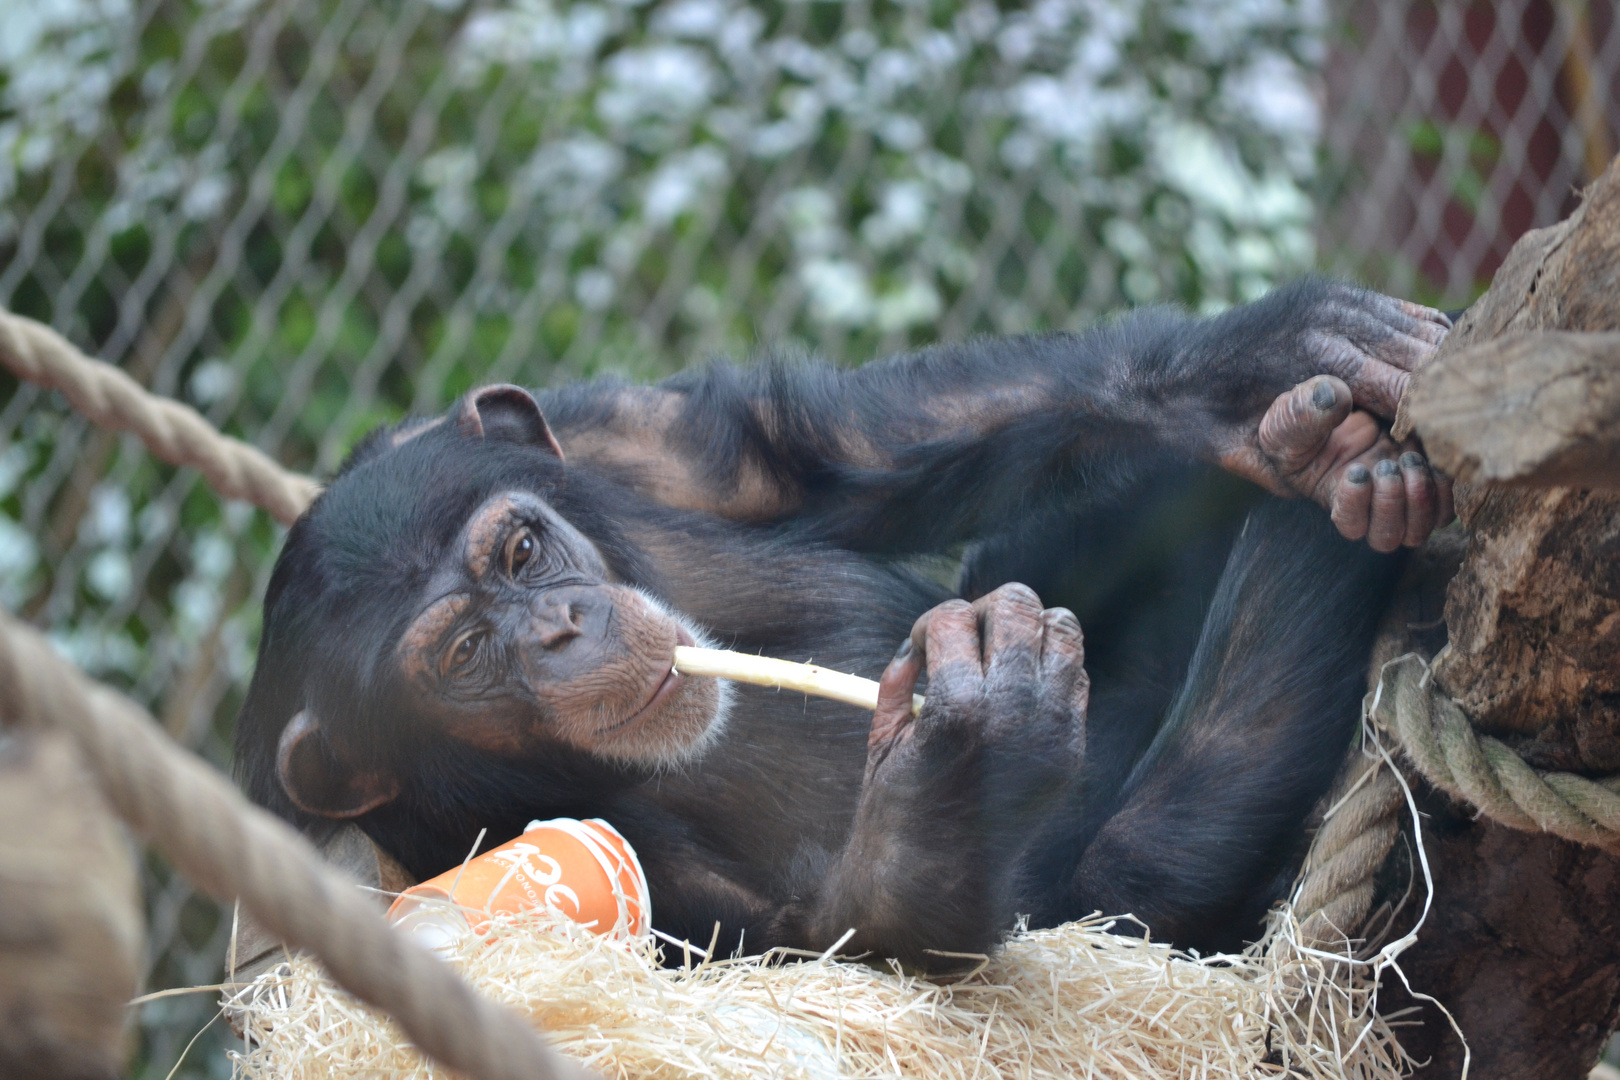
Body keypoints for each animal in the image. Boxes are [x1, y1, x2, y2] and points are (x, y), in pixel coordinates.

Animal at [236, 276, 1458, 965]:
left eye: (521, 552)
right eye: (464, 654)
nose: (559, 629)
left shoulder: (616, 438)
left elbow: (820, 446)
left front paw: (1248, 366)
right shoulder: (475, 847)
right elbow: (821, 937)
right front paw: (968, 757)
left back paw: (1336, 460)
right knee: (1134, 868)